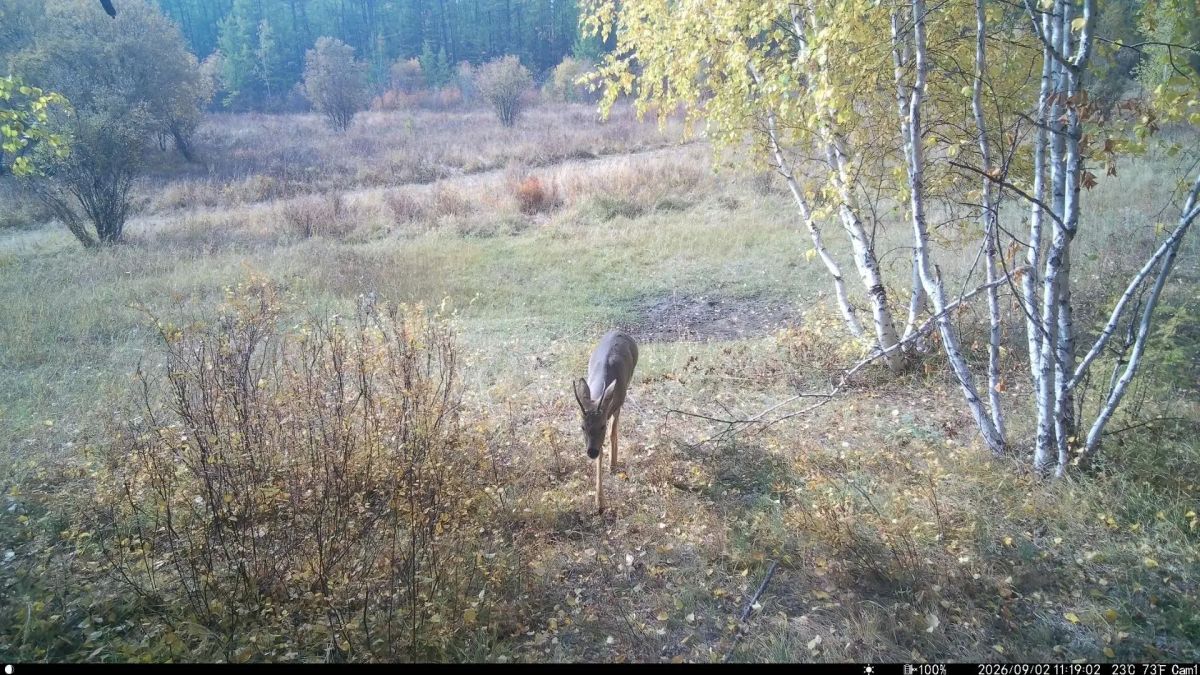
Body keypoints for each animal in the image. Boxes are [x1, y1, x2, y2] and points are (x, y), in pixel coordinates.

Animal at [573, 330, 638, 514]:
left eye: (602, 425)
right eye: (582, 427)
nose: (591, 452)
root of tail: (619, 331)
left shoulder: (617, 404)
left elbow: (613, 432)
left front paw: (613, 464)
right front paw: (599, 502)